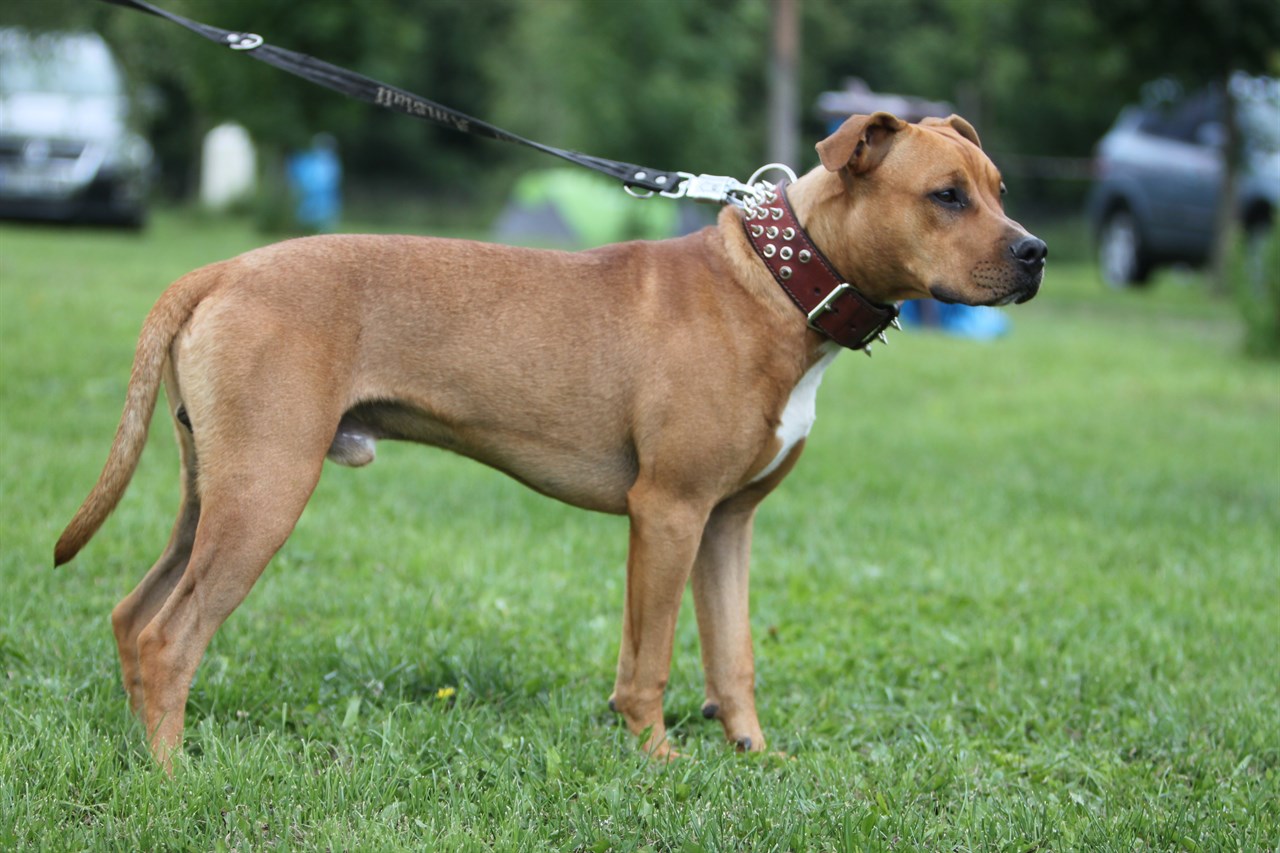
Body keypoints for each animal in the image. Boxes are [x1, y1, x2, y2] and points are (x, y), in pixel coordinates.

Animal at [55, 109, 1044, 768]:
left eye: (1000, 191)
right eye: (945, 196)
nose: (1034, 252)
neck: (778, 282)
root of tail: (220, 270)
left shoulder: (727, 525)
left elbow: (733, 657)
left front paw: (753, 757)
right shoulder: (668, 512)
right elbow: (650, 658)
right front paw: (658, 762)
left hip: (213, 491)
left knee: (134, 614)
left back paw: (142, 750)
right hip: (264, 492)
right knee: (171, 636)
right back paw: (176, 774)